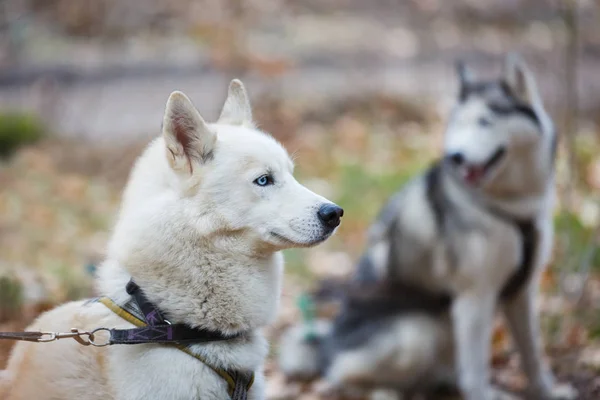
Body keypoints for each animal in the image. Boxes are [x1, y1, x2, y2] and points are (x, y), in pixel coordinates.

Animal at [278, 54, 576, 400]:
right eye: (458, 124)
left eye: (485, 122)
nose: (456, 156)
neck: (509, 205)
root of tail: (327, 345)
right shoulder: (475, 295)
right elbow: (476, 369)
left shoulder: (522, 292)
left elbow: (532, 354)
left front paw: (547, 390)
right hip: (415, 334)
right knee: (340, 375)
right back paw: (384, 392)